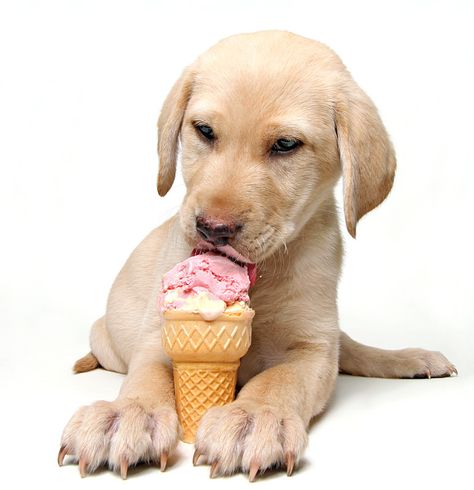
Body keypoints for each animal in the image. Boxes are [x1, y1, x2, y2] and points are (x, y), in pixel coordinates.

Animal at [58, 31, 456, 482]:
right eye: (204, 131)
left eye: (285, 145)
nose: (213, 229)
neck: (263, 275)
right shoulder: (157, 339)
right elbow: (149, 378)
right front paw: (128, 414)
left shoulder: (312, 348)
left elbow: (280, 380)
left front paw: (253, 416)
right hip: (104, 338)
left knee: (348, 348)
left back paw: (408, 358)